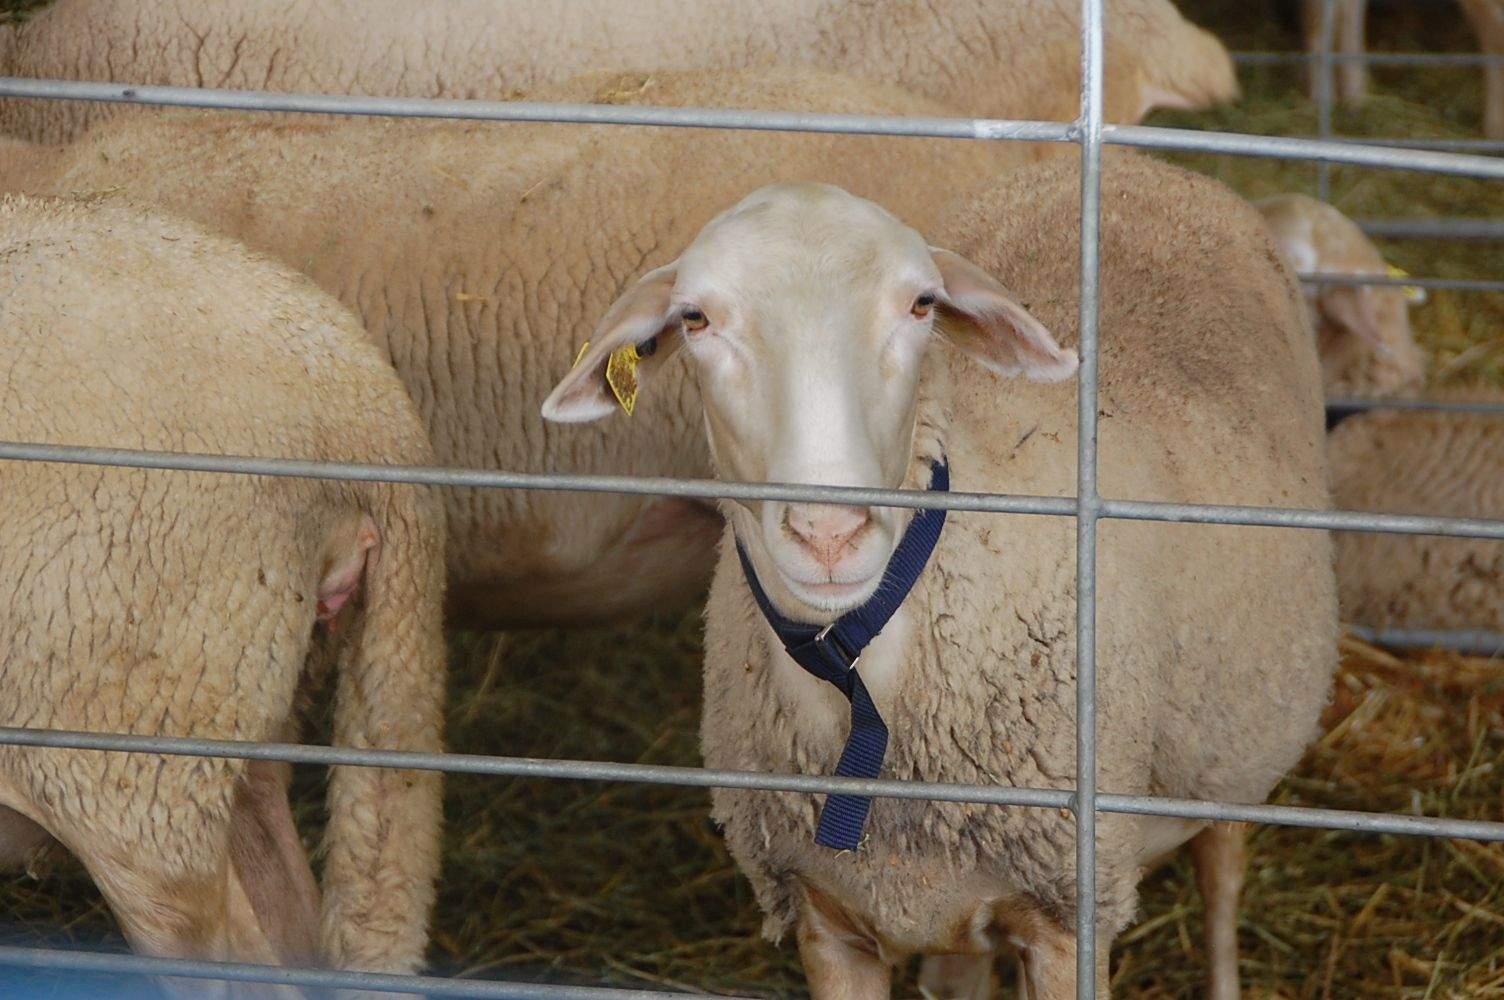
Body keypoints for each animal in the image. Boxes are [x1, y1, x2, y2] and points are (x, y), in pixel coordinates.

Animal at [540, 152, 1338, 998]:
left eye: (921, 304)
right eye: (695, 318)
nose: (830, 534)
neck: (862, 675)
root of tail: (1146, 165)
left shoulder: (1069, 914)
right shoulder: (827, 918)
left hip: (1229, 749)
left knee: (1222, 877)